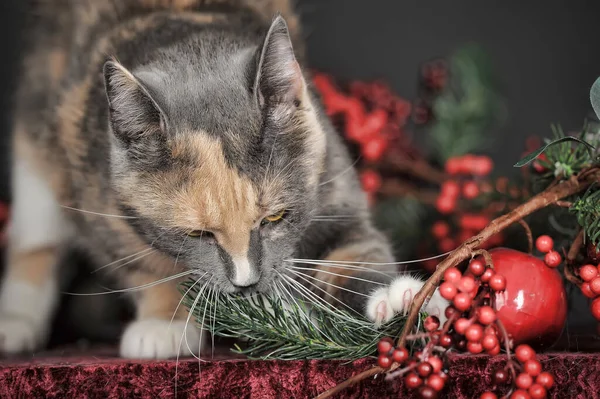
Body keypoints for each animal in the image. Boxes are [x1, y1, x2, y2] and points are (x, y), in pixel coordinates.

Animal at [0, 0, 446, 360]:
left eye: (275, 217)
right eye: (197, 234)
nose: (246, 283)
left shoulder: (327, 173)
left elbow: (356, 251)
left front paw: (397, 298)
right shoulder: (98, 200)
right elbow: (143, 261)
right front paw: (164, 323)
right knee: (36, 239)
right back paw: (15, 321)